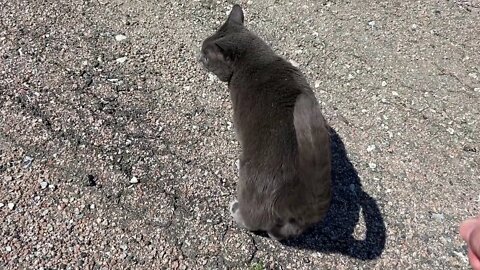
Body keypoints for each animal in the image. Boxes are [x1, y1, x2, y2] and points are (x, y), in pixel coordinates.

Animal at [199, 4, 330, 240]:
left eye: (206, 57)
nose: (198, 56)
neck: (255, 60)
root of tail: (302, 198)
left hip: (252, 182)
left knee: (253, 219)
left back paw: (236, 210)